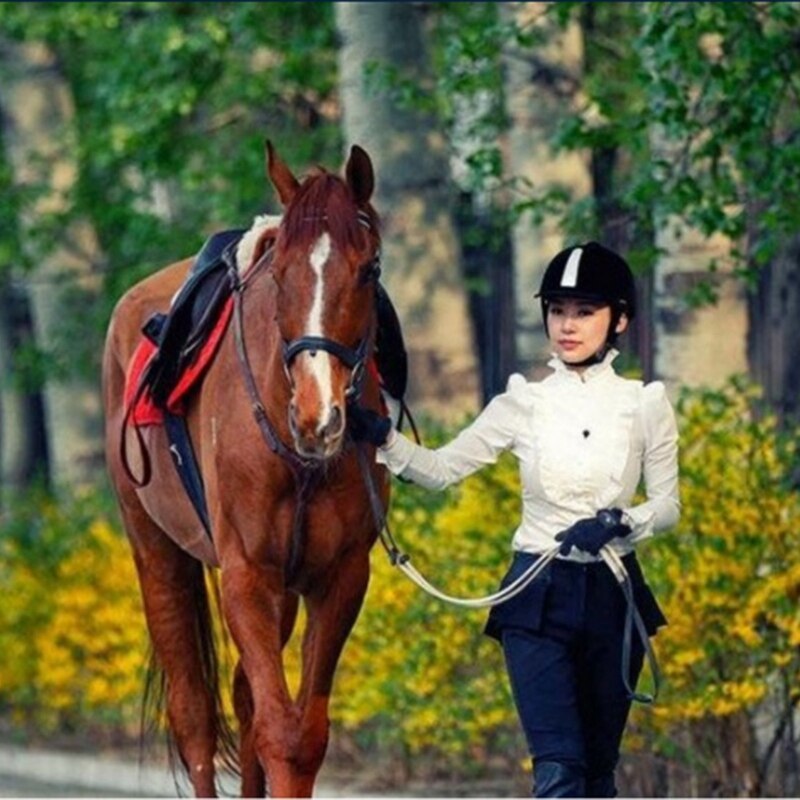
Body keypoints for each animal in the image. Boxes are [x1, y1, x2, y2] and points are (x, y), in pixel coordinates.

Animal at [102, 142, 389, 797]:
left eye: (368, 270)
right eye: (280, 273)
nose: (317, 417)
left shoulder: (339, 577)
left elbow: (298, 733)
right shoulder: (246, 576)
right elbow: (280, 732)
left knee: (243, 699)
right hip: (155, 550)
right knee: (194, 714)